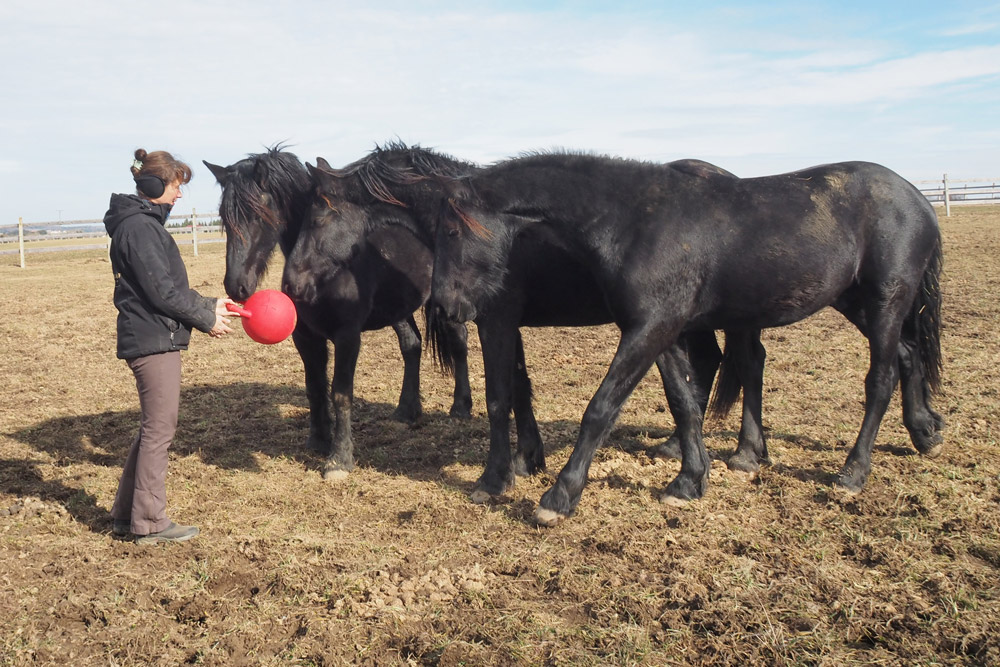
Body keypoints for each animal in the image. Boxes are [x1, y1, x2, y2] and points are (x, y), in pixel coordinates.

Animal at [203, 147, 473, 480]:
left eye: (258, 215)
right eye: (224, 218)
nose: (236, 286)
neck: (325, 274)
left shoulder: (347, 336)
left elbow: (341, 393)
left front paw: (339, 460)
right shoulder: (305, 337)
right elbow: (315, 387)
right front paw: (318, 440)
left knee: (458, 340)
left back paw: (460, 408)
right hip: (397, 308)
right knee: (412, 345)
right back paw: (406, 411)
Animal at [281, 143, 749, 502]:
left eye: (317, 216)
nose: (290, 283)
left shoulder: (496, 320)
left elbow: (498, 398)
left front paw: (497, 478)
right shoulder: (507, 323)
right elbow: (520, 388)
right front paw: (527, 458)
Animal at [432, 153, 944, 525]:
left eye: (453, 230)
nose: (443, 305)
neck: (634, 220)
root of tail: (917, 198)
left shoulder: (649, 328)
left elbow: (600, 408)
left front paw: (558, 496)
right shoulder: (666, 330)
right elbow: (683, 402)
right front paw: (689, 481)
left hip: (885, 301)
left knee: (879, 379)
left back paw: (853, 472)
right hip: (856, 302)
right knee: (907, 354)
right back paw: (924, 432)